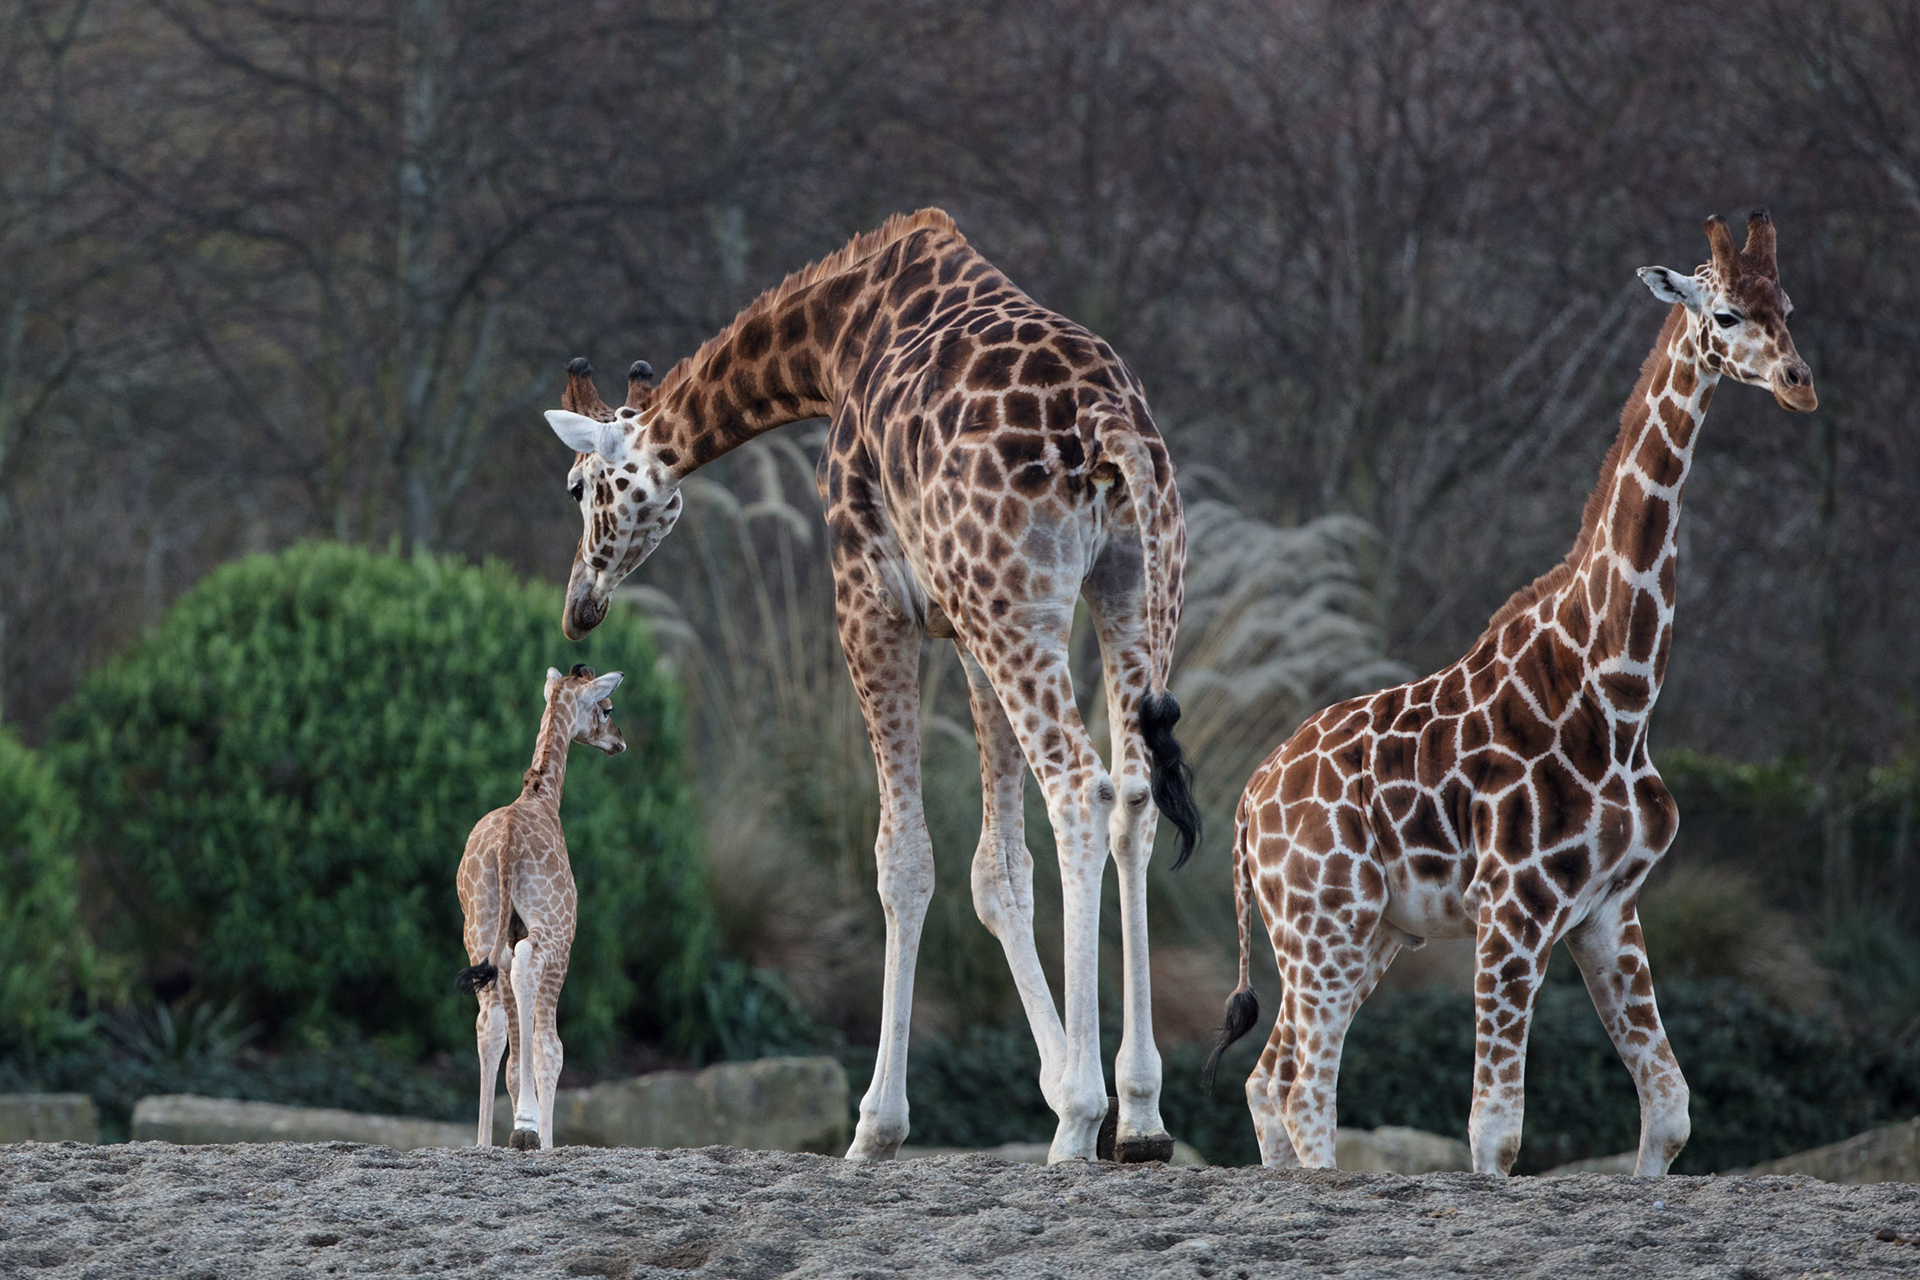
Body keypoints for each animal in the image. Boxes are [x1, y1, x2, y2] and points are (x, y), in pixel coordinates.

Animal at [455, 660, 622, 1151]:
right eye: (607, 708)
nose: (618, 741)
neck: (541, 797)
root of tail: (507, 843)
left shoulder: (504, 936)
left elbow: (512, 1053)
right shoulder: (561, 937)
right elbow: (551, 1048)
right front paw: (541, 1136)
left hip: (478, 924)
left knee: (488, 1020)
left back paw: (483, 1140)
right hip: (552, 928)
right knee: (535, 1001)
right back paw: (525, 1127)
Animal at [545, 208, 1198, 1159]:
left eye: (576, 486)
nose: (579, 608)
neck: (832, 338)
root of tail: (1109, 423)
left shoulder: (872, 599)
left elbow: (902, 858)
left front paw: (877, 1127)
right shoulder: (962, 623)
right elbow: (998, 869)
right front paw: (1058, 1083)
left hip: (1022, 606)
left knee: (1081, 787)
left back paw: (1080, 1123)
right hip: (1129, 594)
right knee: (1134, 798)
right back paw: (1142, 1115)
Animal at [1205, 213, 1820, 1182]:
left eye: (1787, 305)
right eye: (1724, 312)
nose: (1800, 385)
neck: (1616, 696)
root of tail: (1247, 802)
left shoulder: (1608, 907)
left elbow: (1670, 1112)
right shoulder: (1516, 907)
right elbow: (1496, 1133)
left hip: (1367, 929)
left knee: (1269, 1077)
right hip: (1323, 919)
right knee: (1305, 1088)